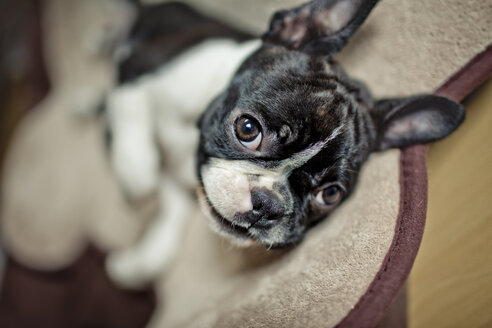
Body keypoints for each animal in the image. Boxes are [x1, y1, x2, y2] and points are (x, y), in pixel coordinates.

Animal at [104, 0, 466, 288]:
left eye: (329, 195)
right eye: (247, 128)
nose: (266, 205)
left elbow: (171, 219)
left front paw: (139, 263)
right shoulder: (139, 68)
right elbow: (134, 118)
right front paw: (135, 173)